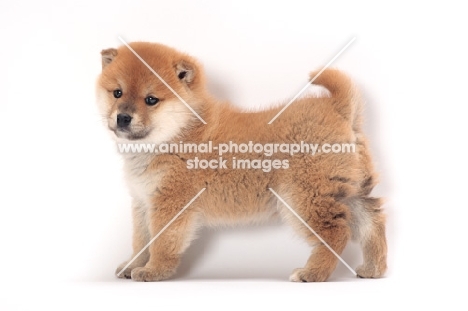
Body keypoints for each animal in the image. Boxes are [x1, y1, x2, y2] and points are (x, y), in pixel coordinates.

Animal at [96, 42, 388, 284]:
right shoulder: (143, 202)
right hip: (350, 190)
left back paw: (312, 273)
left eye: (151, 100)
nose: (122, 117)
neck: (178, 134)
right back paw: (374, 268)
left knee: (335, 232)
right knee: (372, 221)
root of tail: (338, 108)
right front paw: (132, 265)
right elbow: (141, 241)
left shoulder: (171, 203)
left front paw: (153, 271)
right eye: (117, 93)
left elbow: (161, 243)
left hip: (303, 197)